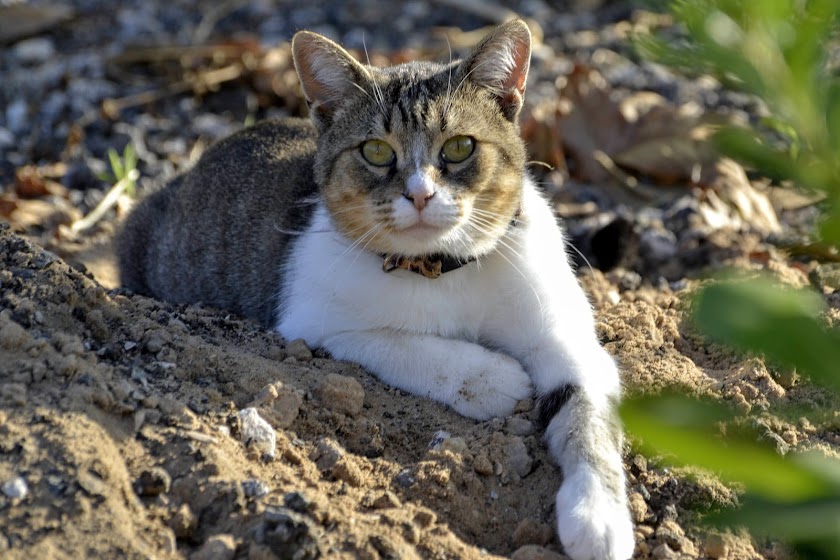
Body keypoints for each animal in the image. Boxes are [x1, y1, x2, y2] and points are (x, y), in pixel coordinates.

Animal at [115, 19, 632, 560]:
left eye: (460, 147)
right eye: (376, 151)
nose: (420, 194)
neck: (441, 268)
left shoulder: (567, 338)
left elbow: (587, 419)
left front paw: (597, 519)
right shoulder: (315, 323)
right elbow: (405, 345)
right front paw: (493, 379)